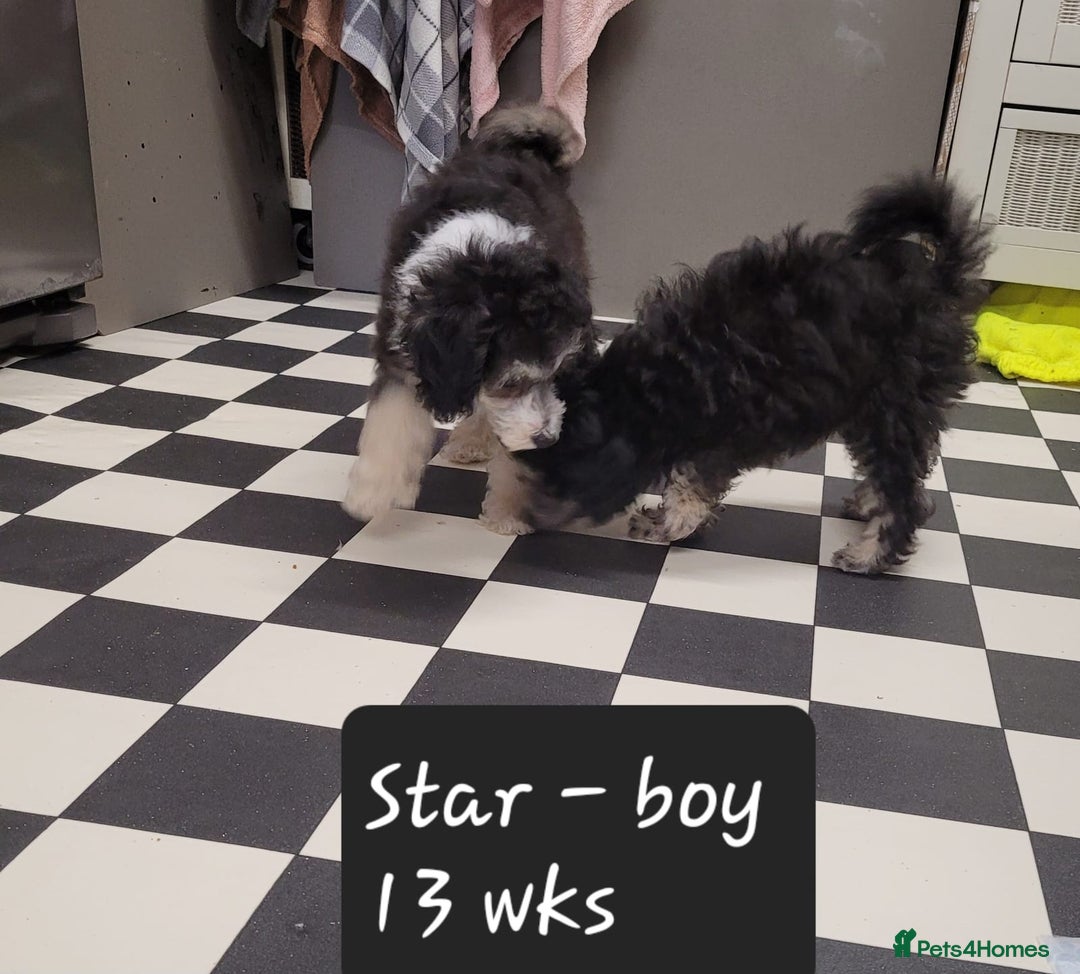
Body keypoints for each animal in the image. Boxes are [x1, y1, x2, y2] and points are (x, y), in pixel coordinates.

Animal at [341, 104, 597, 532]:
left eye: (558, 375)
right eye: (511, 383)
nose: (547, 439)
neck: (481, 260)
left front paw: (509, 512)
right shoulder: (402, 345)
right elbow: (391, 417)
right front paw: (374, 493)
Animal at [488, 175, 990, 574]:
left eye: (561, 481)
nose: (527, 521)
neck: (648, 389)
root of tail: (939, 281)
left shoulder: (714, 435)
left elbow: (689, 491)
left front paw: (670, 526)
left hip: (893, 404)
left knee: (904, 493)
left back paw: (869, 556)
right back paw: (866, 503)